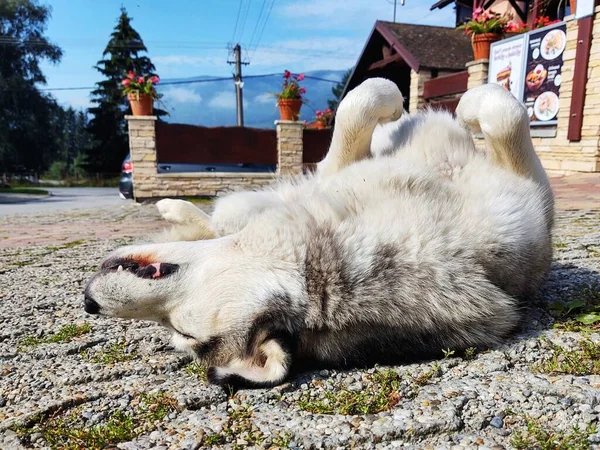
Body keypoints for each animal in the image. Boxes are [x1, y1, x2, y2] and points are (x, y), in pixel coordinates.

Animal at [83, 79, 552, 388]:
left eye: (182, 332)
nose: (88, 304)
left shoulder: (529, 209)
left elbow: (502, 114)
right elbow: (359, 107)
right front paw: (421, 103)